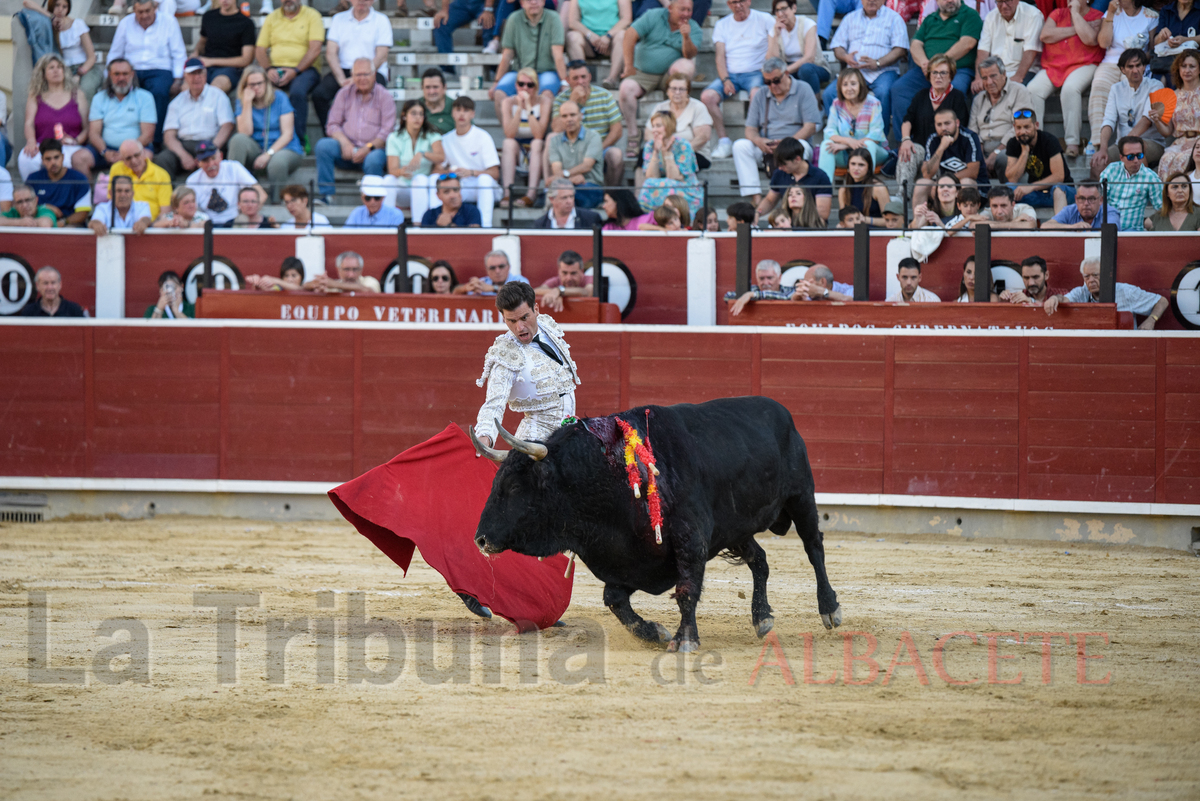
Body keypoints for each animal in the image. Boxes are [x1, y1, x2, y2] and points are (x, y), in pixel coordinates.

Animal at [470, 393, 844, 652]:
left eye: (514, 486)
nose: (481, 540)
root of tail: (780, 410)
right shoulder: (630, 557)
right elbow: (614, 599)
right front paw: (654, 633)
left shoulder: (690, 541)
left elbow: (686, 591)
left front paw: (685, 639)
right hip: (734, 528)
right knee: (760, 560)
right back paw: (762, 617)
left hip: (802, 496)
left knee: (814, 548)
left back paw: (829, 609)